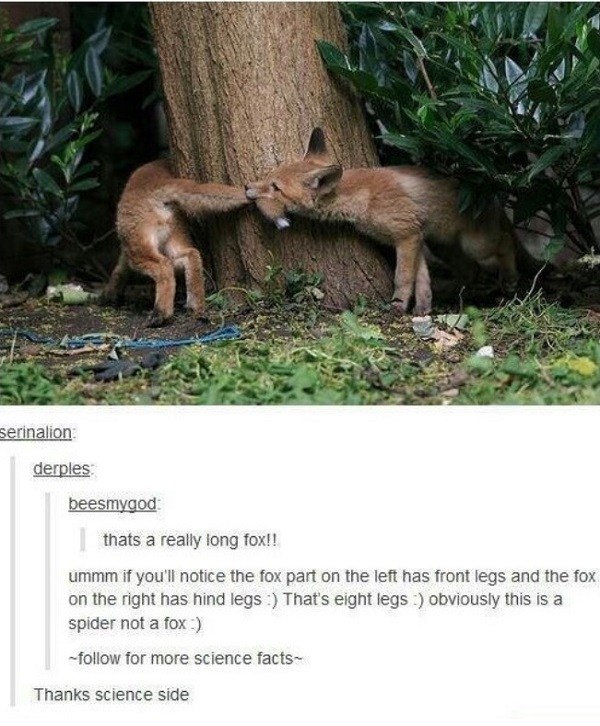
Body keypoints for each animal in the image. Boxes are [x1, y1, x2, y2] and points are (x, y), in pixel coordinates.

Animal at [102, 159, 250, 326]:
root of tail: (161, 183)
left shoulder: (126, 251)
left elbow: (119, 270)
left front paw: (110, 294)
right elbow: (120, 270)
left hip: (136, 250)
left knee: (164, 268)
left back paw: (161, 315)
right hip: (173, 241)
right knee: (192, 254)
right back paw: (197, 307)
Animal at [244, 127, 519, 314]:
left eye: (275, 187)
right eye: (269, 177)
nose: (247, 187)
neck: (363, 197)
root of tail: (490, 194)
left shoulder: (407, 236)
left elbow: (403, 277)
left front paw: (398, 305)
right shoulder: (415, 238)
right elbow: (421, 279)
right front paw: (423, 308)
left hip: (477, 245)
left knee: (506, 245)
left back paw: (511, 279)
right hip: (444, 245)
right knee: (469, 272)